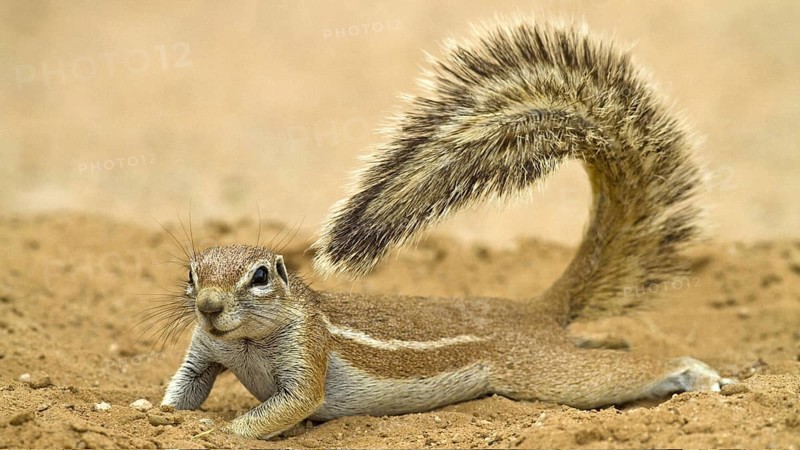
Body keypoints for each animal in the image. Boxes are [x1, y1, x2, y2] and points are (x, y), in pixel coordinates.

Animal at [160, 19, 733, 439]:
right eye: (192, 274)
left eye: (260, 276)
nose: (208, 308)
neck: (244, 342)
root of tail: (532, 311)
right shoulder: (203, 353)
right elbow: (185, 390)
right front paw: (163, 414)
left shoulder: (308, 351)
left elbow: (289, 406)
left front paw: (219, 433)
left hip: (547, 374)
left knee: (619, 371)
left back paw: (698, 375)